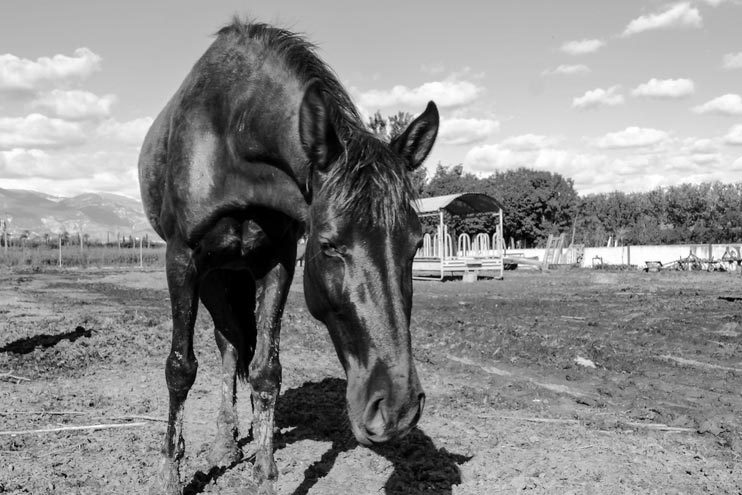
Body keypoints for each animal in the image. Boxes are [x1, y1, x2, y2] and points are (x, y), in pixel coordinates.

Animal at [140, 19, 438, 495]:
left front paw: (264, 475)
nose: (396, 409)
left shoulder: (275, 261)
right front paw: (169, 474)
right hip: (212, 274)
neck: (232, 133)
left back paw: (227, 442)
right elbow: (180, 369)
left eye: (416, 244)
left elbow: (265, 370)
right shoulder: (182, 259)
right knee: (223, 344)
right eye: (328, 245)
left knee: (231, 344)